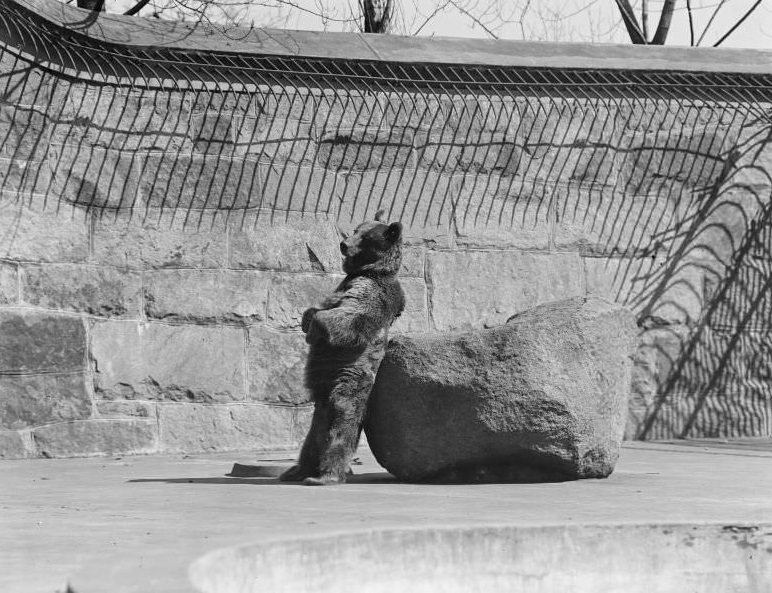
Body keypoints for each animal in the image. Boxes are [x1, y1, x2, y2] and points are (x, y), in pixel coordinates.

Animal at [279, 212, 406, 486]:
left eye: (367, 236)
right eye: (357, 229)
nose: (344, 244)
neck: (370, 271)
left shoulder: (372, 291)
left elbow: (350, 317)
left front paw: (314, 328)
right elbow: (318, 306)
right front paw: (306, 318)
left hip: (348, 377)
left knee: (342, 420)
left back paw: (326, 475)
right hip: (323, 390)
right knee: (317, 428)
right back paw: (298, 470)